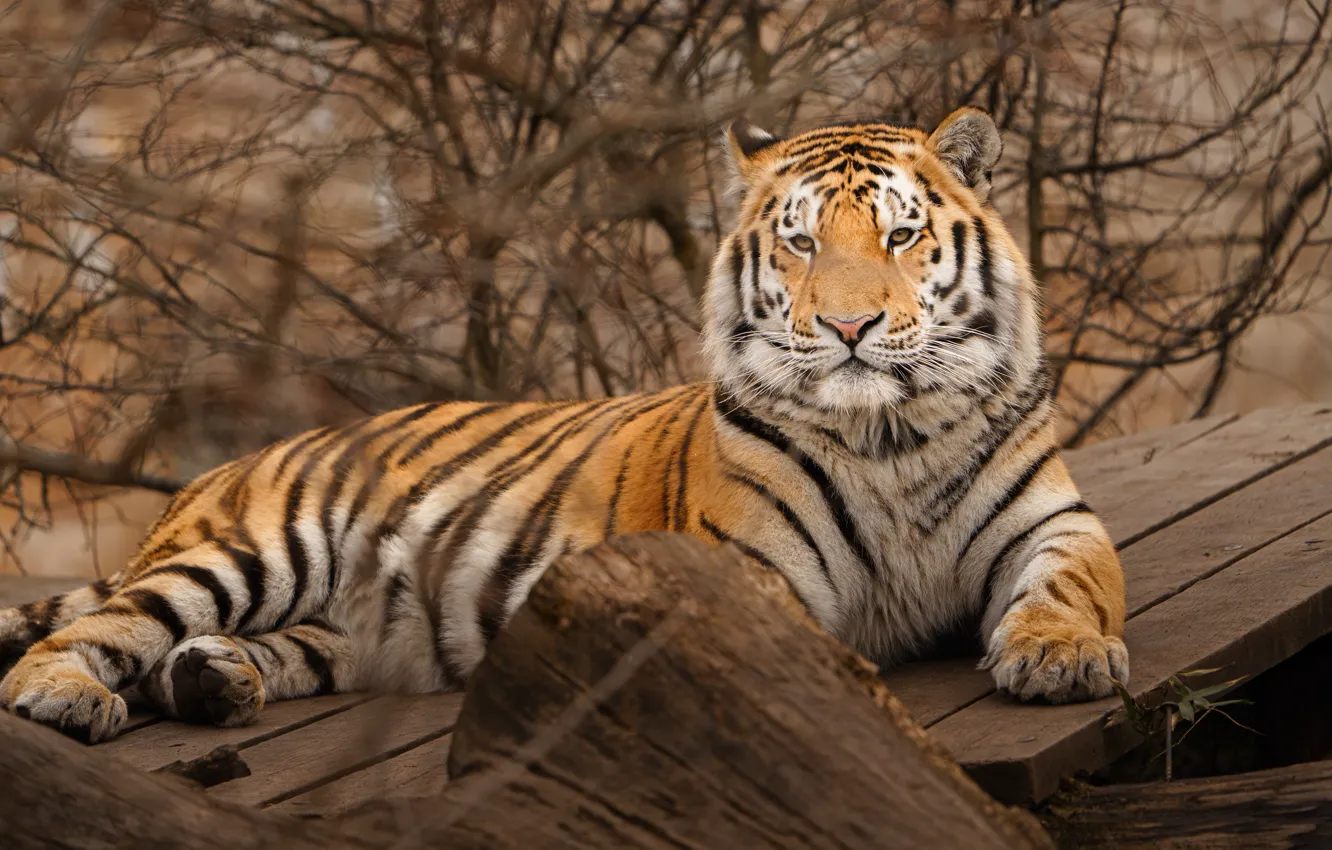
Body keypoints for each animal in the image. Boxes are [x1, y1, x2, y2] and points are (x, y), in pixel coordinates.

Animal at [0, 107, 1128, 743]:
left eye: (899, 236)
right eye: (803, 243)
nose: (849, 326)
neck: (887, 437)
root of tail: (216, 473)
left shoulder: (1053, 520)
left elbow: (1072, 581)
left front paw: (1062, 656)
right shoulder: (746, 572)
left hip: (345, 633)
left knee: (223, 653)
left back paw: (213, 681)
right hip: (249, 552)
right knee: (91, 635)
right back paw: (70, 699)